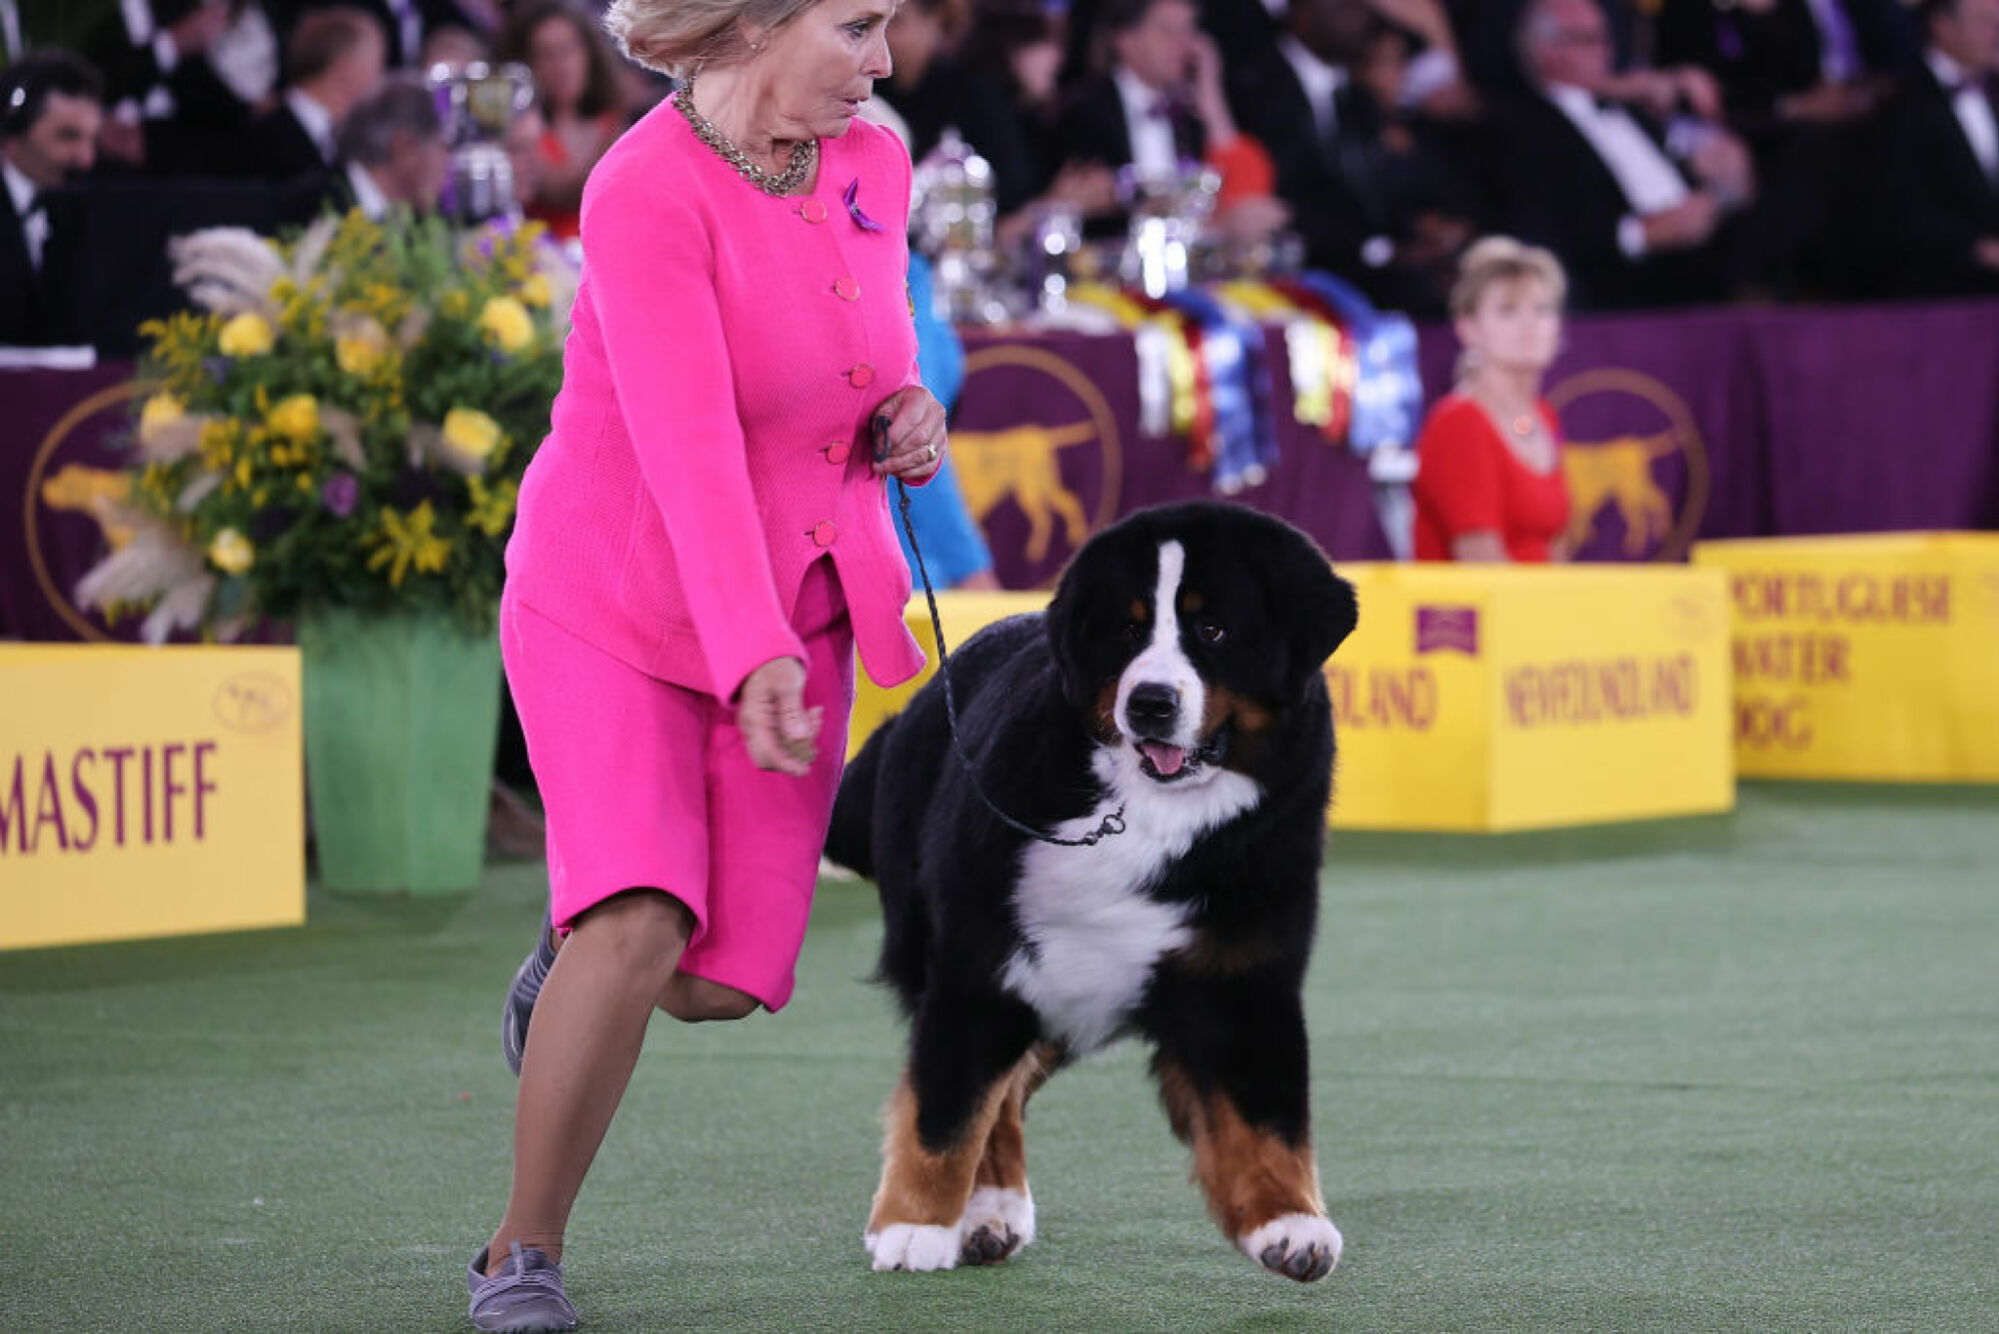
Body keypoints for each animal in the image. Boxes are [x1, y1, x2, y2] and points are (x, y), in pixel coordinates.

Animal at [823, 498, 1359, 1280]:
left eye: (1213, 630)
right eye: (1128, 630)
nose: (1152, 702)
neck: (1147, 811)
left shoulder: (1244, 969)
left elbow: (1265, 1108)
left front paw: (1288, 1222)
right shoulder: (980, 963)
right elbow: (947, 1106)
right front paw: (913, 1226)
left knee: (1014, 1082)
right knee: (993, 1089)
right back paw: (985, 1208)